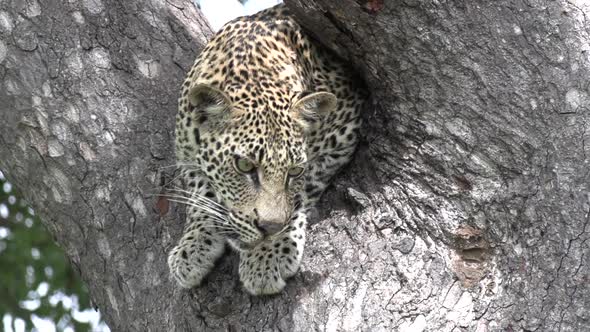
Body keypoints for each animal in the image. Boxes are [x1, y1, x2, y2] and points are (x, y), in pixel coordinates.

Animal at [166, 4, 368, 296]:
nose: (268, 229)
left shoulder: (346, 131)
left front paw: (268, 253)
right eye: (244, 166)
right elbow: (199, 194)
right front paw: (192, 247)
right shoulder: (184, 151)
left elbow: (300, 194)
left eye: (294, 171)